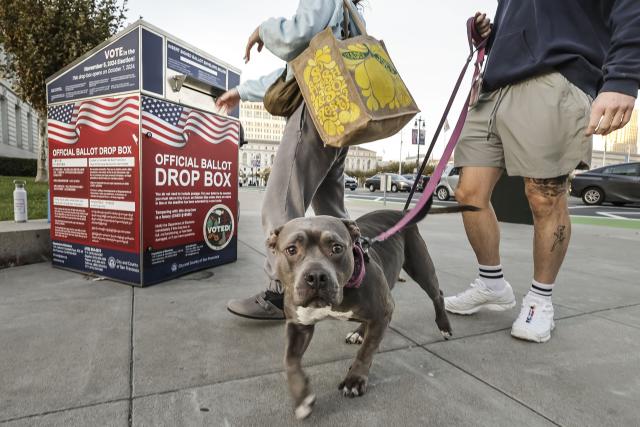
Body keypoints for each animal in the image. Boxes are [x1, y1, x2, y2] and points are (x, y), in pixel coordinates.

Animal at [268, 209, 468, 420]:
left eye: (337, 248)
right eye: (291, 250)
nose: (316, 277)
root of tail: (401, 211)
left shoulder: (383, 312)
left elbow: (366, 351)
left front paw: (355, 380)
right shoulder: (298, 325)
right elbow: (290, 360)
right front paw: (302, 397)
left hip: (421, 267)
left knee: (437, 294)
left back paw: (444, 326)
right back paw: (359, 332)